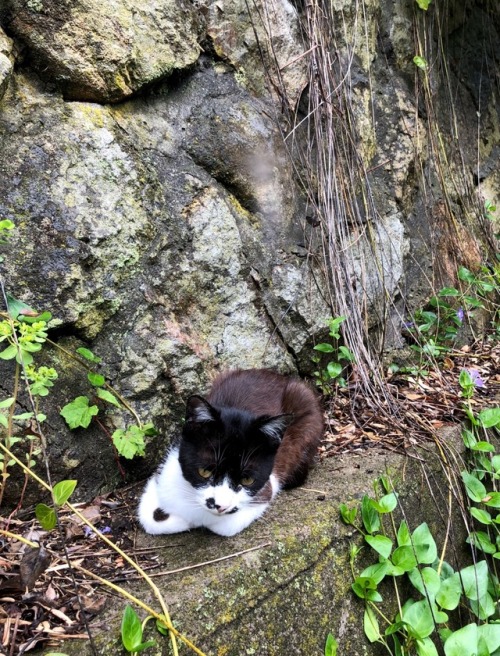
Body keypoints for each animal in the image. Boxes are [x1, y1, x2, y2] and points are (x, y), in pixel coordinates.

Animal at [137, 368, 324, 540]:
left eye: (247, 479)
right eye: (205, 471)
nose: (220, 506)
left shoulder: (266, 488)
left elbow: (224, 526)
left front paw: (193, 522)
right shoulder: (165, 475)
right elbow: (150, 519)